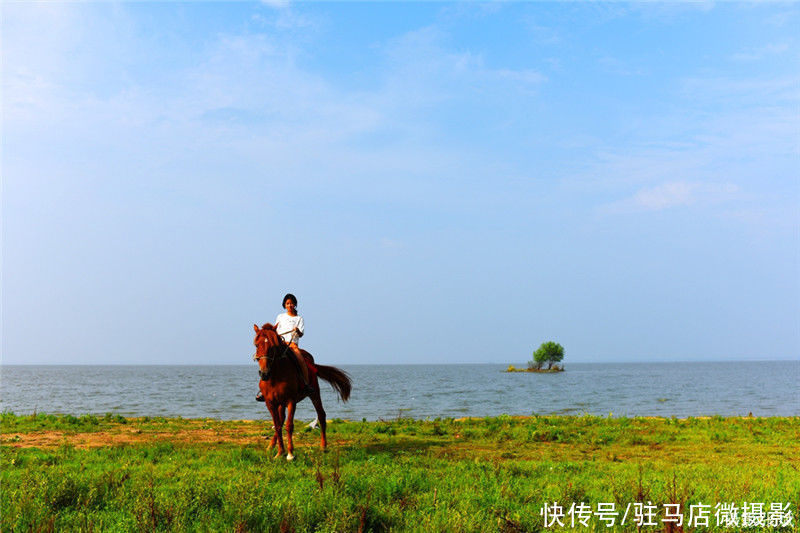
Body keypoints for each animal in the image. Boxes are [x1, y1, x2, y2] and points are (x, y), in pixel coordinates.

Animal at [250, 322, 350, 460]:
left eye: (273, 346)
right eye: (256, 345)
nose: (264, 373)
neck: (276, 375)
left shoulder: (291, 401)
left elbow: (289, 425)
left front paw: (290, 454)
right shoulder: (270, 403)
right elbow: (277, 425)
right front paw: (280, 452)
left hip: (314, 393)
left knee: (321, 415)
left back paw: (323, 446)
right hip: (281, 403)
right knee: (281, 420)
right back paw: (271, 446)